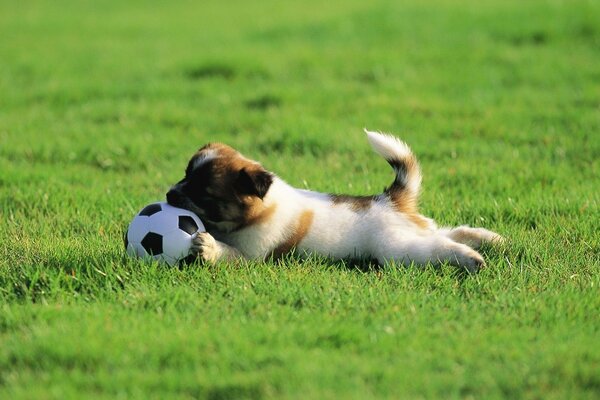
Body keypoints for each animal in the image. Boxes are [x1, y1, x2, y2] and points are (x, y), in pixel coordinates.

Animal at [166, 131, 504, 272]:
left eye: (204, 193)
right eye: (185, 175)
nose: (169, 194)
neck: (259, 209)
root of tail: (390, 200)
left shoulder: (252, 255)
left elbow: (227, 252)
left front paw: (208, 247)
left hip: (397, 248)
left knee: (439, 246)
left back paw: (471, 258)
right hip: (414, 230)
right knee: (449, 231)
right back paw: (491, 240)